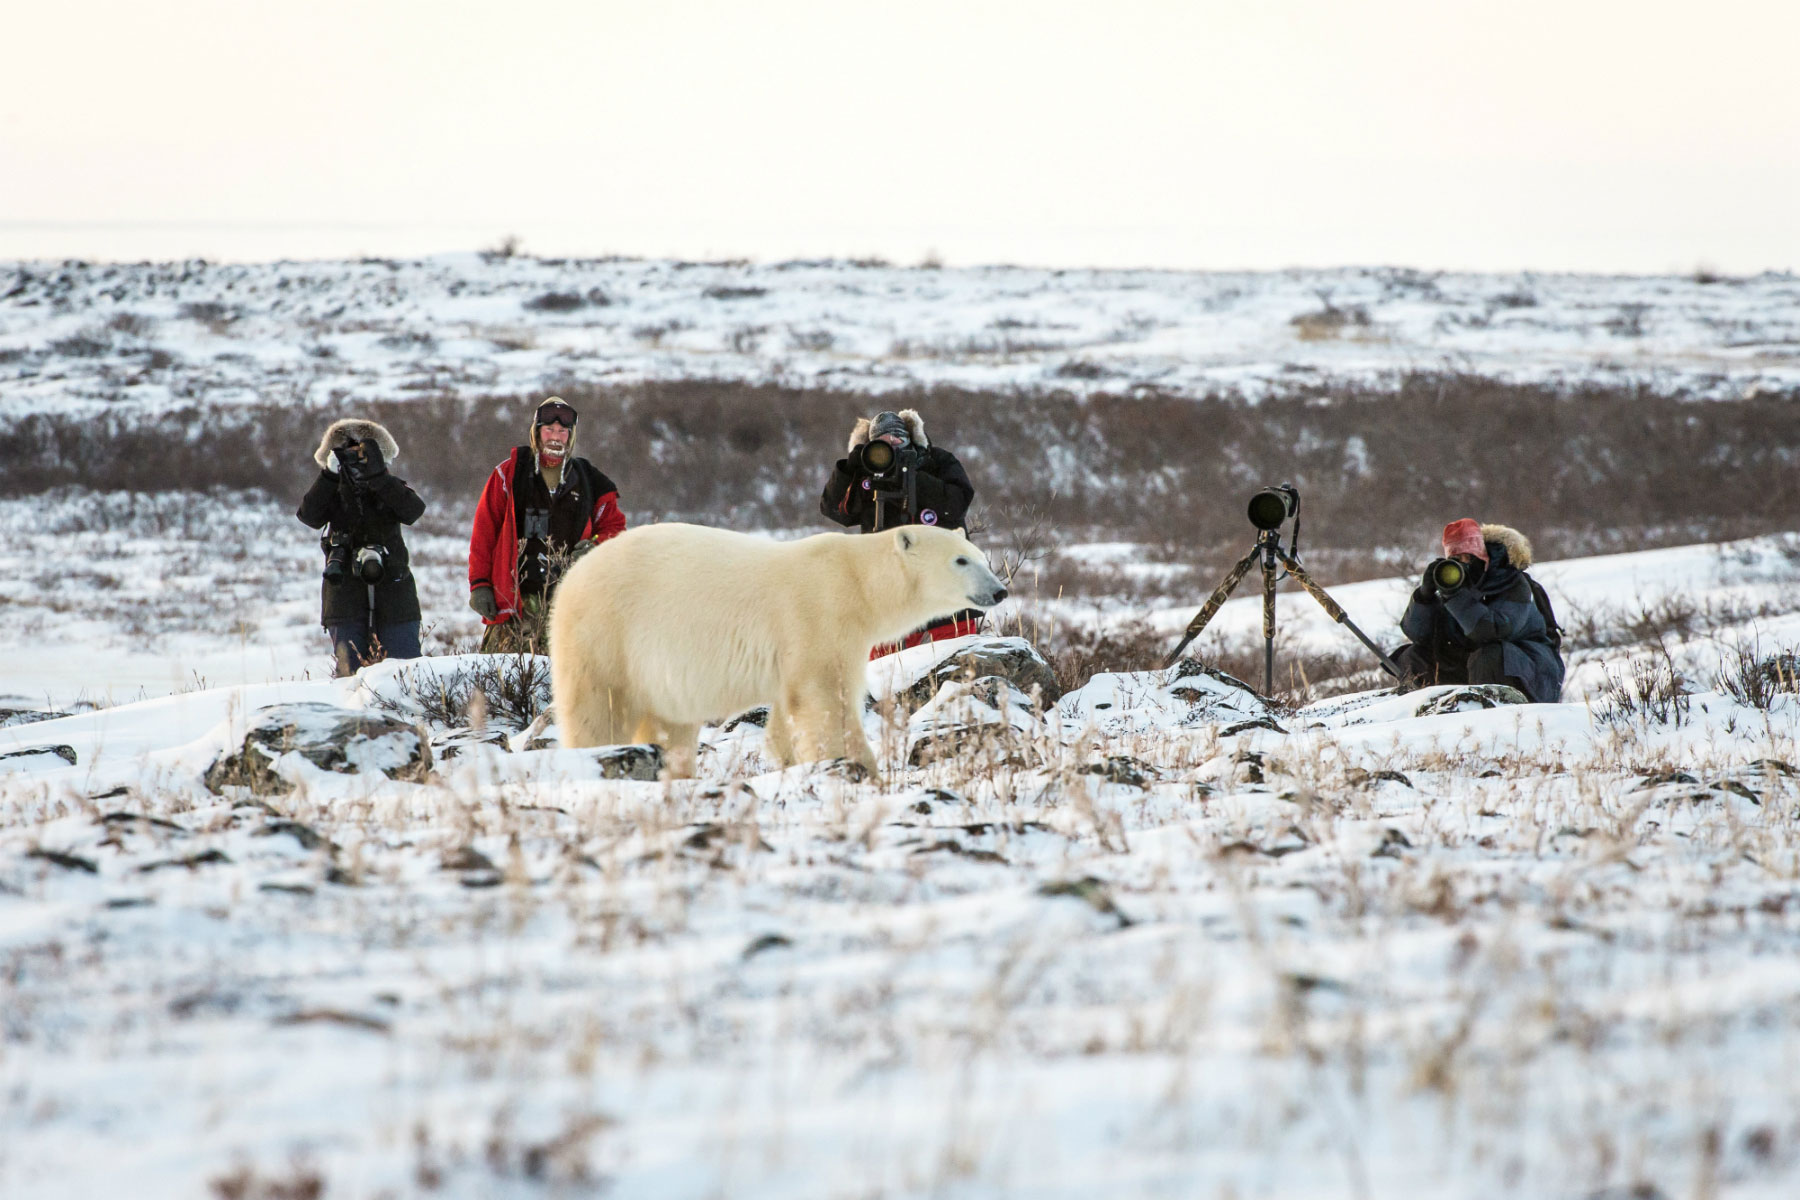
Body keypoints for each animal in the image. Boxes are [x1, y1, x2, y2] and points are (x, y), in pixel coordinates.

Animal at [547, 525, 1008, 780]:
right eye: (961, 560)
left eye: (982, 557)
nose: (1000, 590)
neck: (858, 579)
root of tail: (571, 577)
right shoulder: (819, 615)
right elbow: (826, 701)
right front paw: (861, 769)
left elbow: (789, 712)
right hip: (607, 632)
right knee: (597, 709)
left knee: (669, 723)